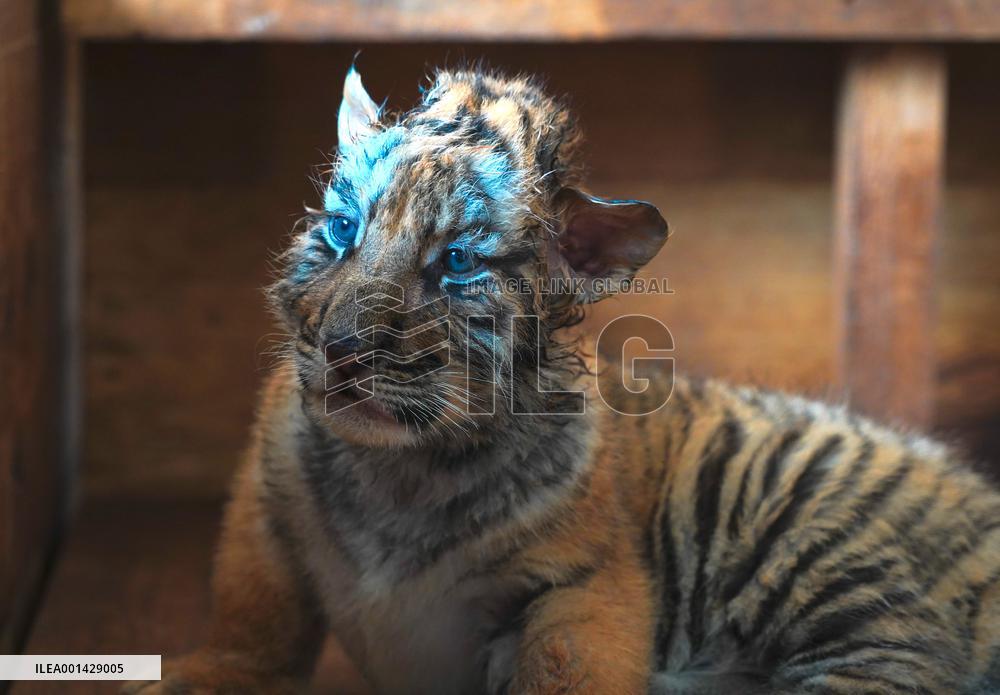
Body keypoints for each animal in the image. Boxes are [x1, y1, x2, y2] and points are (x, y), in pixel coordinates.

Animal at [125, 65, 1000, 695]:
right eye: (342, 230)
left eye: (456, 264)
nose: (338, 347)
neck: (399, 472)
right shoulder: (266, 508)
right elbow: (248, 625)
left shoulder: (580, 587)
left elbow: (563, 667)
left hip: (827, 557)